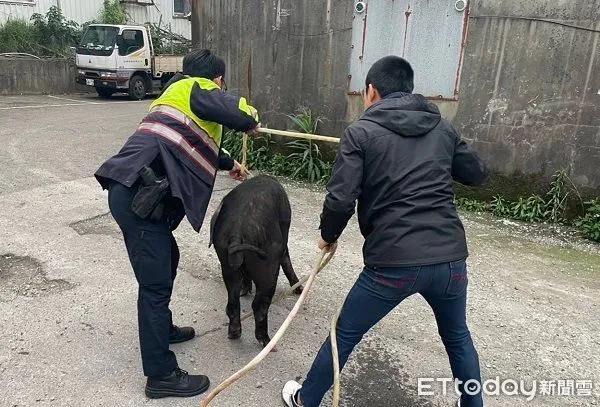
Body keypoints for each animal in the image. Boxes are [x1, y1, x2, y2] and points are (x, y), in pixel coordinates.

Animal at [211, 175, 304, 348]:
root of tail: (237, 232)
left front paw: (245, 289)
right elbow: (287, 259)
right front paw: (298, 289)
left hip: (225, 259)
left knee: (232, 302)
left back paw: (234, 333)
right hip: (268, 265)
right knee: (259, 305)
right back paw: (267, 341)